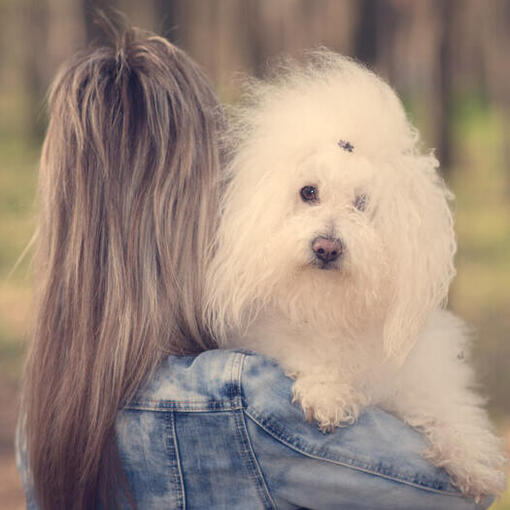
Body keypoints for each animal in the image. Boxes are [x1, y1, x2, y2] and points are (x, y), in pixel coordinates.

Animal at [205, 51, 508, 498]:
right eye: (308, 192)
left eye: (363, 203)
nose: (326, 247)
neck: (333, 307)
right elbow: (306, 354)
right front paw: (327, 394)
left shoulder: (417, 377)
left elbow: (445, 407)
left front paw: (471, 456)